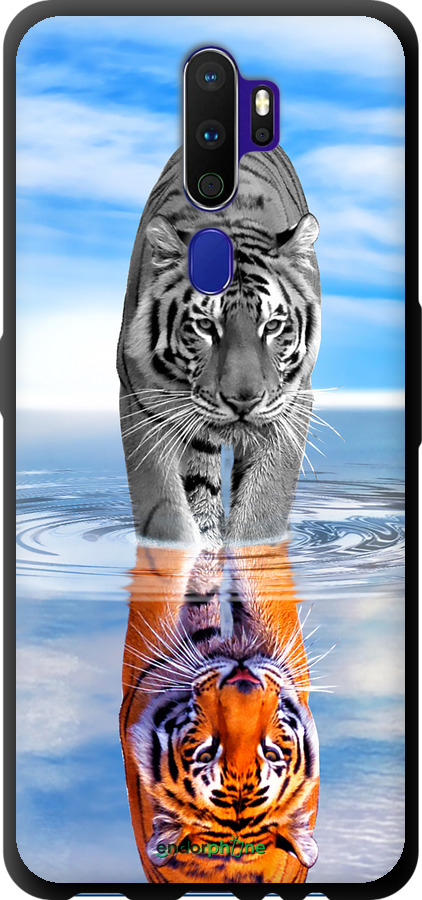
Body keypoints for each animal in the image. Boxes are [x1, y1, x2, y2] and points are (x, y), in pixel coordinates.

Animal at [117, 145, 321, 548]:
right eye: (206, 326)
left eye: (272, 326)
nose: (243, 402)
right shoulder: (141, 402)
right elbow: (166, 512)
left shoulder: (291, 406)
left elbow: (262, 509)